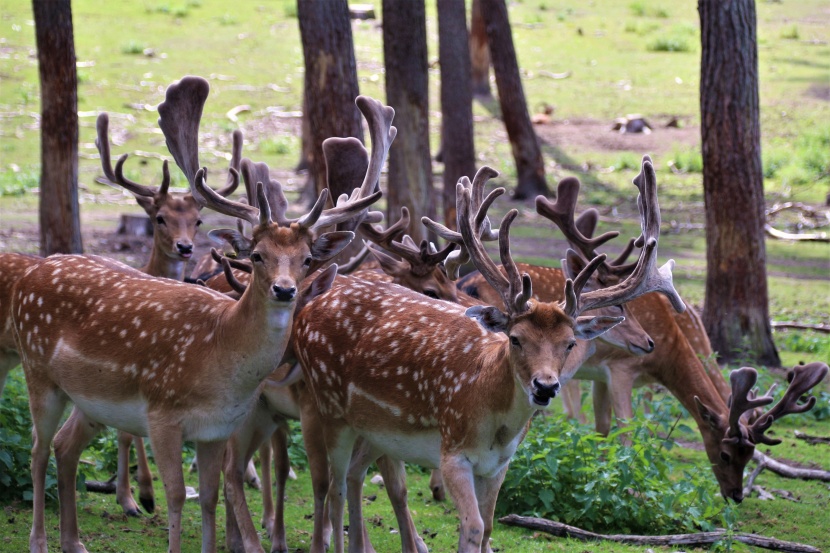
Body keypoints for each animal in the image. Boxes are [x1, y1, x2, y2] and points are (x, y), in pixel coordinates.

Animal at [11, 75, 382, 552]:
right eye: (257, 256)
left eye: (305, 259)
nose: (285, 290)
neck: (218, 356)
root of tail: (33, 270)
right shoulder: (162, 415)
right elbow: (175, 497)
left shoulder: (216, 429)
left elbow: (208, 496)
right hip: (37, 371)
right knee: (38, 450)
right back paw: (40, 540)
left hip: (89, 399)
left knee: (63, 445)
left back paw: (74, 541)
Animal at [290, 156, 684, 552]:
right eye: (516, 338)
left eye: (570, 343)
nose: (545, 386)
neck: (493, 425)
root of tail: (308, 306)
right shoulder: (452, 453)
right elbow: (474, 527)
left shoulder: (498, 464)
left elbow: (490, 524)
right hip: (330, 408)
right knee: (334, 485)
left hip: (375, 430)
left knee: (355, 475)